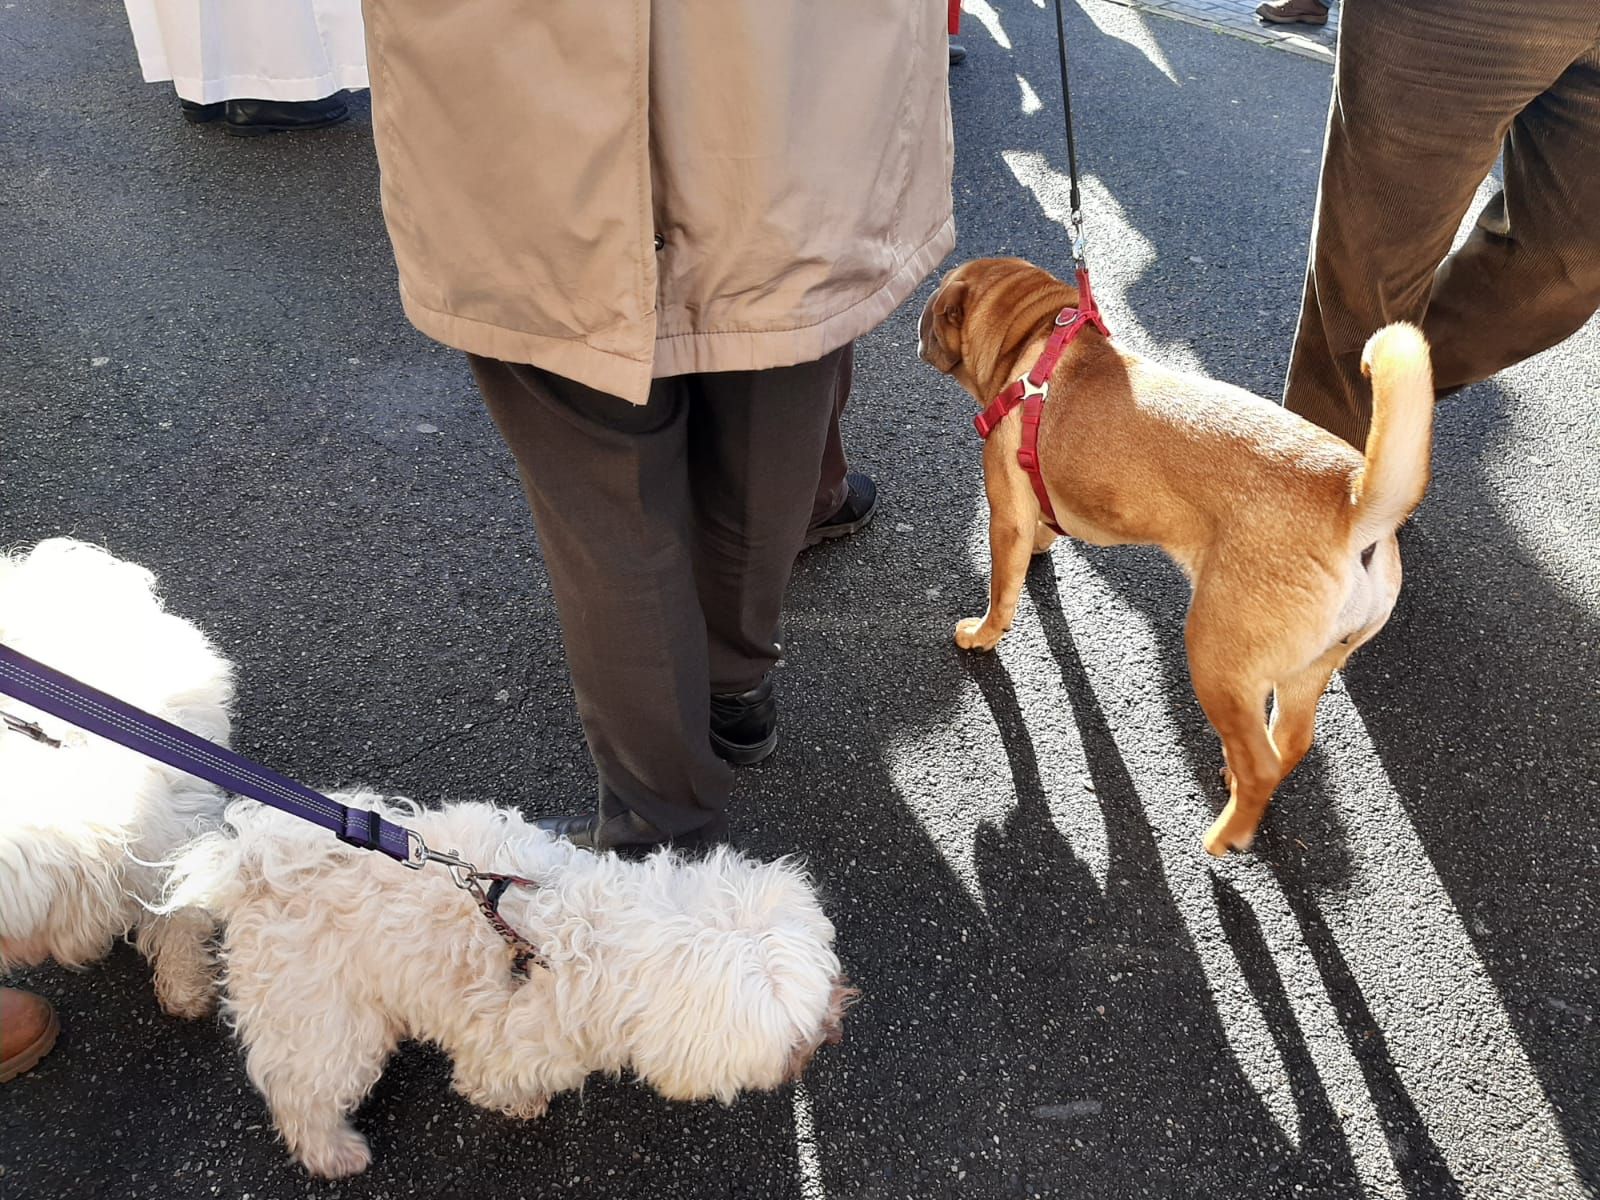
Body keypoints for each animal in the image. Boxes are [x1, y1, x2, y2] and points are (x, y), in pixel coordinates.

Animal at [168, 803, 857, 1177]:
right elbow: (496, 1080)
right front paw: (522, 1104)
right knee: (302, 1090)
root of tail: (256, 867)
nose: (836, 1028)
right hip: (324, 1015)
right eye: (795, 1030)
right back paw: (334, 1151)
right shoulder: (508, 1043)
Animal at [921, 256, 1433, 857]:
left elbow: (1002, 593)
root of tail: (1352, 501)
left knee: (1262, 762)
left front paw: (981, 634)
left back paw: (1226, 834)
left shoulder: (1006, 515)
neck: (1035, 339)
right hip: (1309, 669)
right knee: (1290, 742)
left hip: (1215, 658)